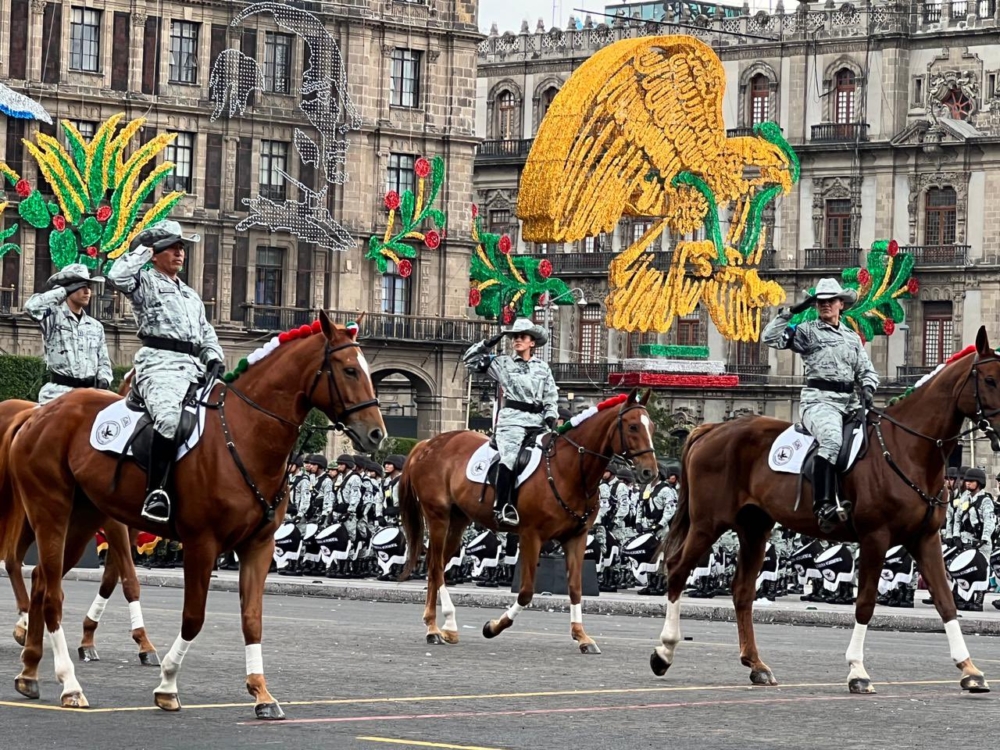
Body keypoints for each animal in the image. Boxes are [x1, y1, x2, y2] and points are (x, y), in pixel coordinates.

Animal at [0, 312, 382, 724]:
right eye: (348, 370)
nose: (377, 433)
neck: (244, 434)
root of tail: (36, 414)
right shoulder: (201, 543)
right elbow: (192, 617)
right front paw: (167, 684)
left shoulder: (258, 546)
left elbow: (252, 619)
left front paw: (261, 692)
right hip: (51, 511)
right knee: (51, 592)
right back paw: (70, 684)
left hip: (83, 520)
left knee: (42, 581)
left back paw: (30, 671)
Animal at [398, 390, 664, 656]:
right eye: (632, 426)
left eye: (652, 426)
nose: (650, 472)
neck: (567, 470)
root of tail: (428, 443)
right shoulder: (531, 536)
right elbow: (526, 591)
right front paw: (494, 626)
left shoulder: (576, 538)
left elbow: (575, 588)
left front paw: (582, 636)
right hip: (438, 517)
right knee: (435, 567)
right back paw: (439, 626)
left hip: (458, 521)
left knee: (438, 566)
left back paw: (440, 625)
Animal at [652, 326, 996, 696]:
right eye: (991, 379)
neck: (907, 450)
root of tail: (711, 430)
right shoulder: (876, 538)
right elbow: (865, 603)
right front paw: (858, 670)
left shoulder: (925, 538)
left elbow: (946, 603)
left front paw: (969, 669)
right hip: (708, 523)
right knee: (677, 569)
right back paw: (664, 651)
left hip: (754, 528)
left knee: (742, 591)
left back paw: (756, 665)